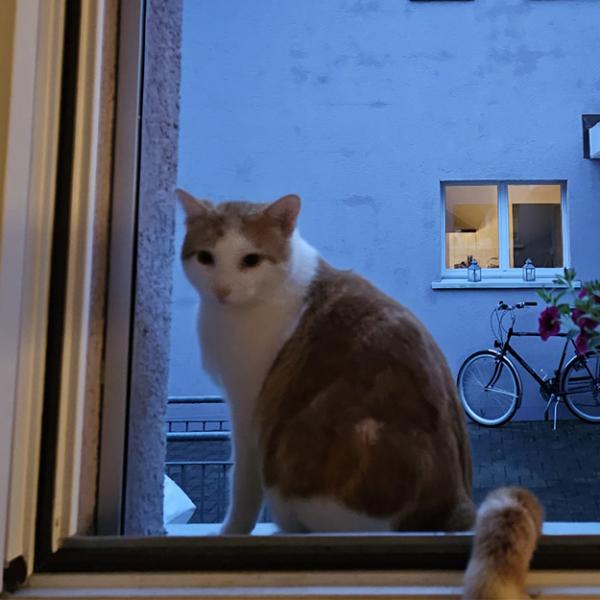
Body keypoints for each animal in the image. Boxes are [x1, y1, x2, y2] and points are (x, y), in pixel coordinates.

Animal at [176, 189, 475, 535]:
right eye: (206, 257)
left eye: (250, 260)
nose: (222, 289)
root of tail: (454, 508)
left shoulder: (247, 405)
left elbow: (243, 485)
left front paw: (232, 530)